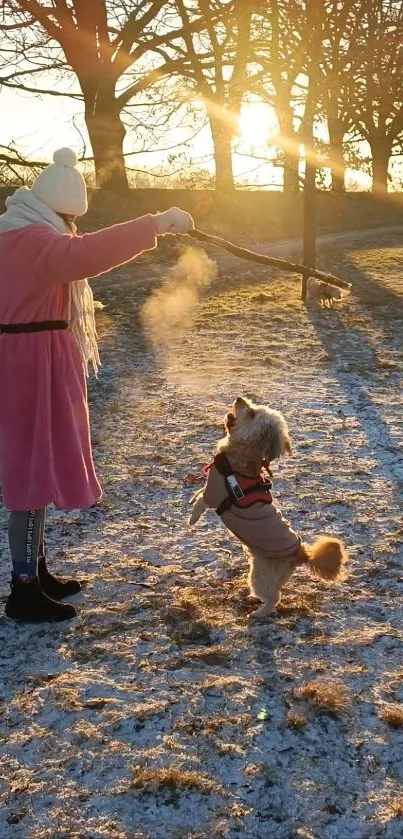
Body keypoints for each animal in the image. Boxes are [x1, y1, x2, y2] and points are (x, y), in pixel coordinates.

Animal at [189, 398, 348, 620]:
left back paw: (258, 613)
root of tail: (301, 554)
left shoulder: (214, 493)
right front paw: (191, 499)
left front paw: (192, 519)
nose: (240, 398)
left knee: (274, 598)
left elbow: (201, 502)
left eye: (252, 413)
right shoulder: (209, 488)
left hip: (260, 577)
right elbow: (198, 494)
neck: (239, 458)